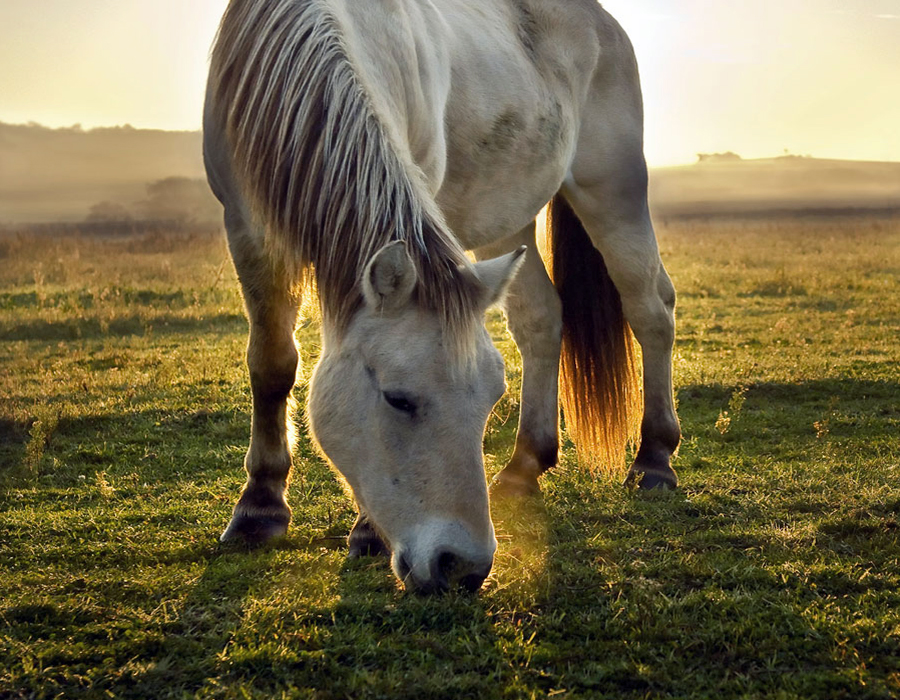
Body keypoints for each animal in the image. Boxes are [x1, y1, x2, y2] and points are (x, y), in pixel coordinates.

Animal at [203, 0, 681, 594]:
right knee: (541, 319)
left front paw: (364, 532)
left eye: (490, 399)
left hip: (612, 191)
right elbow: (271, 364)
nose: (463, 567)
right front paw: (259, 508)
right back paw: (525, 464)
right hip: (511, 224)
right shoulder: (246, 227)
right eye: (398, 399)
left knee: (650, 308)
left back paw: (655, 458)